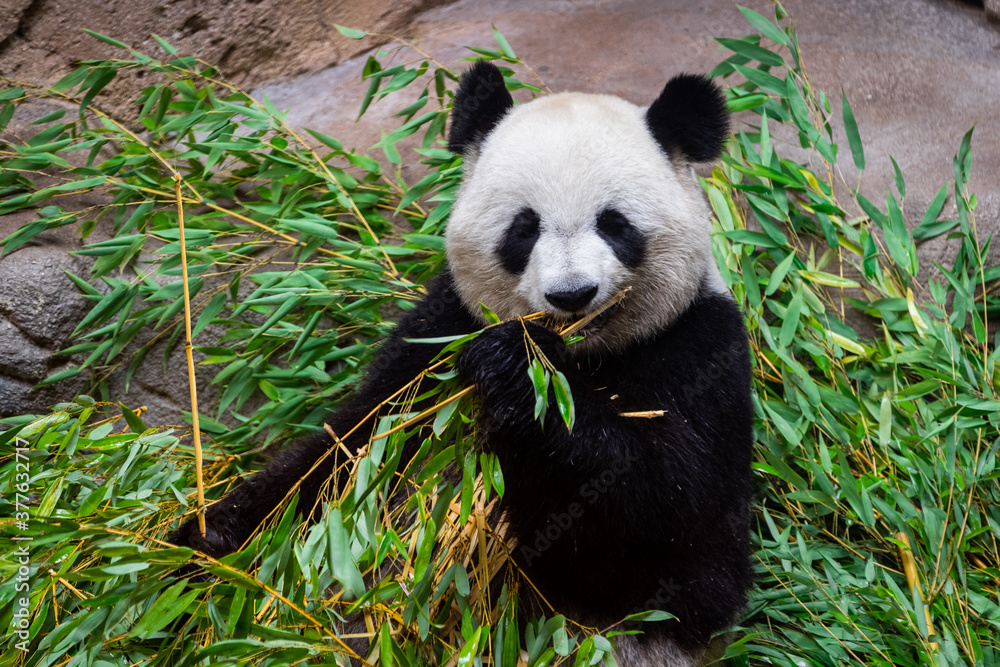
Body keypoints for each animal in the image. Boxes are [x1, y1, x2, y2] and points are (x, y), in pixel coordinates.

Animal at [172, 61, 754, 667]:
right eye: (524, 228)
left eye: (615, 224)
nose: (573, 295)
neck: (585, 354)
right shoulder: (435, 336)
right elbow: (343, 452)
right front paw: (209, 540)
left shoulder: (700, 352)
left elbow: (670, 537)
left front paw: (516, 371)